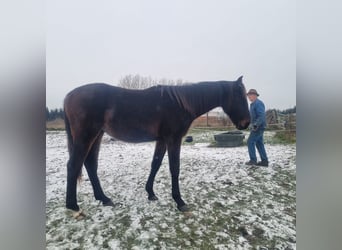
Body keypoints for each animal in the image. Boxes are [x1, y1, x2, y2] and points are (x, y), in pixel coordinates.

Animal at [64, 75, 250, 213]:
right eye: (239, 96)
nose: (247, 123)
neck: (180, 103)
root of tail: (69, 96)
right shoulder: (173, 139)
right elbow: (174, 168)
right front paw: (180, 201)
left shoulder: (162, 140)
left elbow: (156, 164)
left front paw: (151, 193)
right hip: (86, 136)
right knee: (74, 165)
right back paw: (73, 206)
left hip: (97, 135)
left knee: (90, 164)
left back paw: (104, 198)